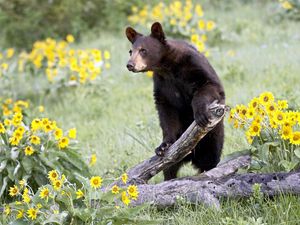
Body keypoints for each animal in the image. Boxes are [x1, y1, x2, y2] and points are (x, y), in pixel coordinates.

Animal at [125, 22, 225, 181]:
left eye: (143, 50)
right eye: (130, 51)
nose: (130, 64)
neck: (167, 67)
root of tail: (192, 157)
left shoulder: (194, 65)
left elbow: (210, 85)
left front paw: (200, 114)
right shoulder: (162, 83)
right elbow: (166, 111)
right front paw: (163, 146)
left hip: (213, 137)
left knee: (211, 158)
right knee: (169, 167)